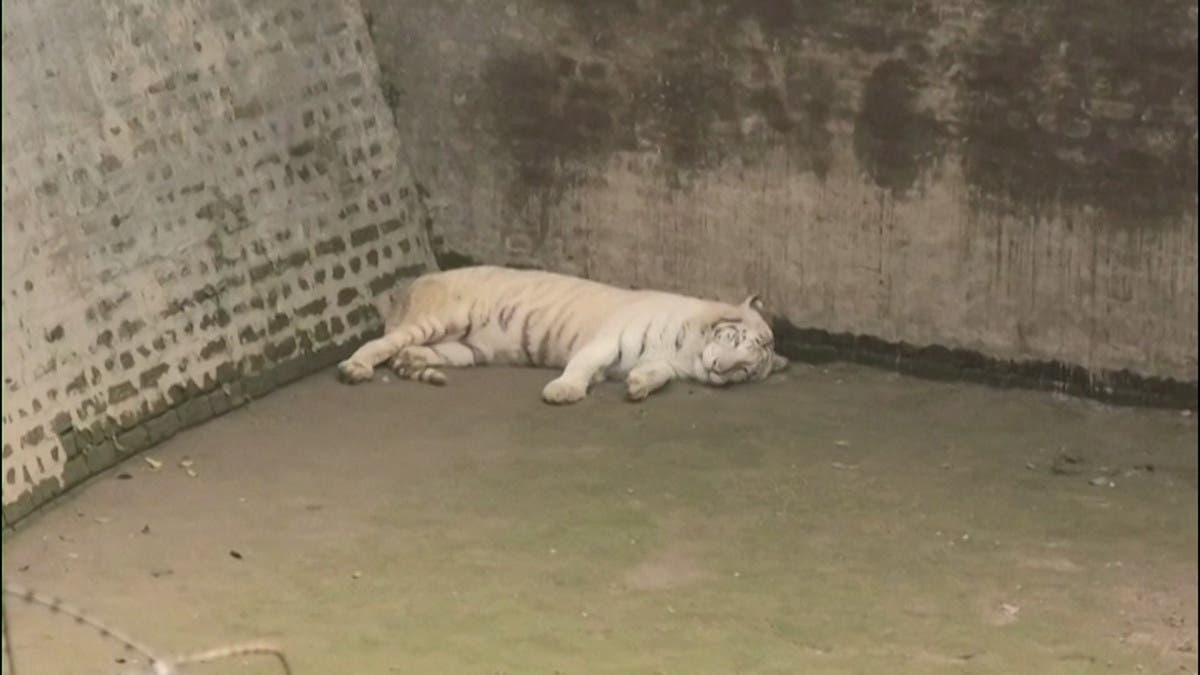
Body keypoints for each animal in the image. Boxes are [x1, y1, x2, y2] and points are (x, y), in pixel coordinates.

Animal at [338, 266, 787, 403]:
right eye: (735, 342)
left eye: (746, 370)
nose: (720, 370)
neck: (687, 352)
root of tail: (408, 287)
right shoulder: (606, 340)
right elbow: (582, 365)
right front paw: (563, 391)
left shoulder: (662, 363)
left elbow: (655, 374)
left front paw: (639, 386)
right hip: (440, 320)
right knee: (380, 343)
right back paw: (354, 368)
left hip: (465, 348)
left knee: (412, 352)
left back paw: (412, 362)